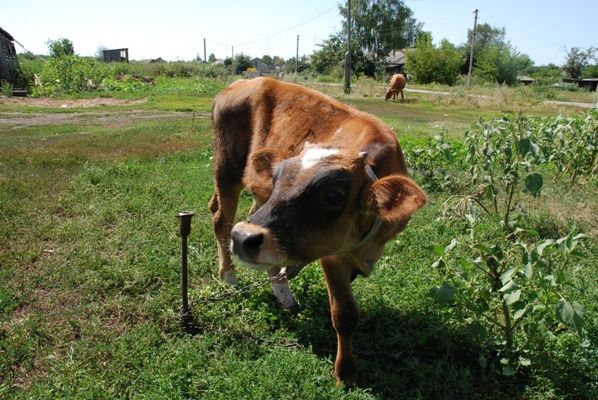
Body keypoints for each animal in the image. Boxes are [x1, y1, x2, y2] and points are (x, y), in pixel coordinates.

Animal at [211, 76, 426, 386]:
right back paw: (229, 275)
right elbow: (344, 313)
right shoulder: (332, 255)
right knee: (221, 218)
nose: (241, 238)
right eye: (278, 178)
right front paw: (345, 373)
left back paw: (282, 292)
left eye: (333, 196)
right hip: (226, 168)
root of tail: (242, 81)